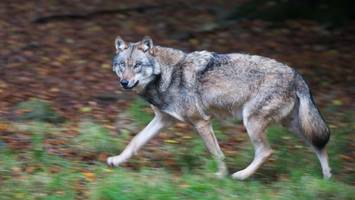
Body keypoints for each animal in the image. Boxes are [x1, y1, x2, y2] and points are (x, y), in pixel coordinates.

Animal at [107, 35, 332, 180]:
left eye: (137, 65)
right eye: (122, 65)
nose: (124, 83)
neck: (166, 76)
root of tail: (296, 75)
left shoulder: (202, 122)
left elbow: (216, 153)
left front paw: (221, 175)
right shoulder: (163, 119)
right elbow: (135, 141)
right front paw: (116, 161)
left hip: (252, 122)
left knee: (266, 151)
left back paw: (241, 175)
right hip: (292, 125)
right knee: (318, 144)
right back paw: (327, 177)